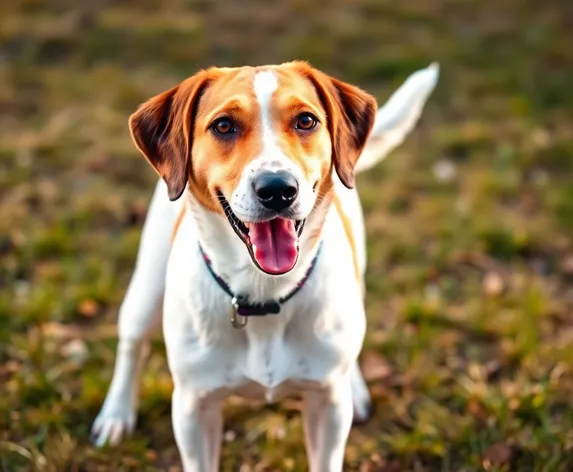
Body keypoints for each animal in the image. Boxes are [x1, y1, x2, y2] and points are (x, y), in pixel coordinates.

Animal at [91, 60, 438, 470]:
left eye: (306, 121)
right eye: (223, 125)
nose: (277, 189)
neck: (263, 292)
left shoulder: (329, 409)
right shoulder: (193, 408)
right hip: (147, 288)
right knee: (132, 344)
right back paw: (115, 414)